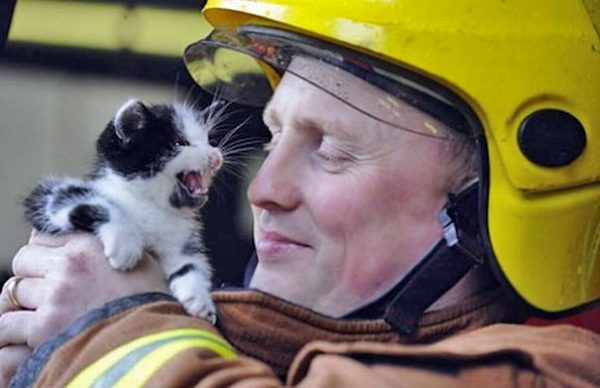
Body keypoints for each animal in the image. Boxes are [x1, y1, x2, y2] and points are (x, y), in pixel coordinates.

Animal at [22, 99, 225, 322]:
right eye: (180, 143)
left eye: (209, 141)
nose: (215, 156)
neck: (151, 204)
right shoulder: (45, 198)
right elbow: (90, 201)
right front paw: (125, 244)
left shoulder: (179, 240)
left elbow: (190, 263)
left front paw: (199, 297)